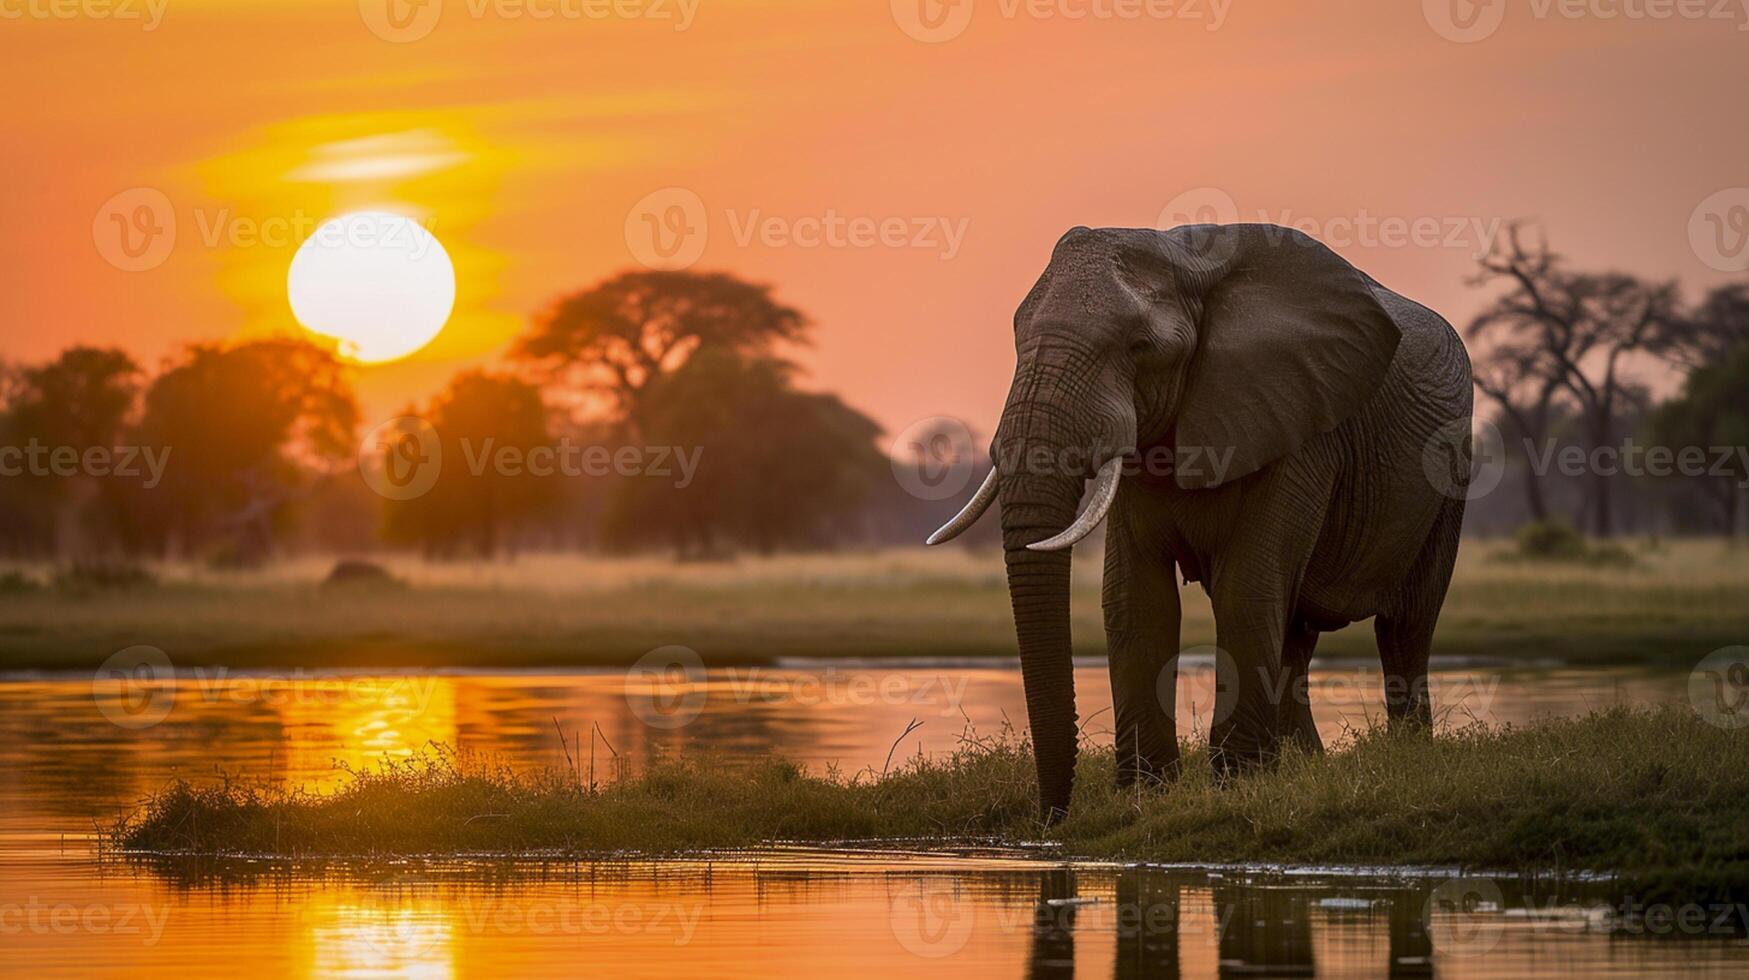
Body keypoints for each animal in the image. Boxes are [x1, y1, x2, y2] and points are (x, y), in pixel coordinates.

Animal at [930, 222, 1476, 819]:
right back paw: (1301, 767)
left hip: (1451, 472)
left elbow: (1247, 588)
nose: (1054, 817)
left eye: (1142, 349)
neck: (1188, 261)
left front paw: (1236, 782)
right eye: (1015, 340)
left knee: (1405, 624)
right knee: (1298, 629)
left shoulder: (1300, 424)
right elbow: (1135, 599)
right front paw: (1148, 791)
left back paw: (1403, 757)